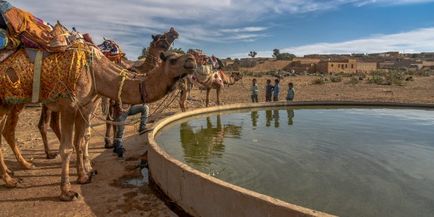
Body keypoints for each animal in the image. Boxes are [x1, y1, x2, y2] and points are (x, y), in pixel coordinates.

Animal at [0, 43, 197, 201]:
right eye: (173, 59)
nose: (192, 60)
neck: (97, 72)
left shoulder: (84, 106)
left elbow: (80, 141)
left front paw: (84, 175)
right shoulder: (69, 105)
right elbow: (68, 148)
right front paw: (67, 191)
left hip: (12, 101)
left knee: (7, 130)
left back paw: (21, 168)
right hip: (11, 101)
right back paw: (12, 178)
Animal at [38, 27, 179, 159]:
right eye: (162, 37)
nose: (175, 32)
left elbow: (111, 120)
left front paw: (110, 143)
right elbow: (114, 119)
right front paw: (114, 145)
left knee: (48, 123)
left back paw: (52, 152)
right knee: (48, 123)